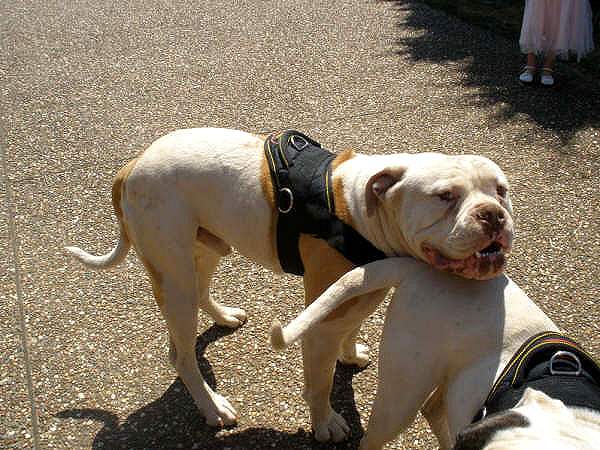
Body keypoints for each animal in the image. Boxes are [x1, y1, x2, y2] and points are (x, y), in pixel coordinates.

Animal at [67, 127, 516, 442]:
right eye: (445, 196)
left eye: (500, 190)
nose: (493, 215)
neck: (361, 211)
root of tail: (133, 165)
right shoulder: (319, 320)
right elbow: (319, 382)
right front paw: (325, 423)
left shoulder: (362, 289)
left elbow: (352, 326)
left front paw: (349, 353)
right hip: (173, 272)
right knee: (181, 354)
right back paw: (213, 408)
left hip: (204, 250)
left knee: (201, 292)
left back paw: (224, 317)